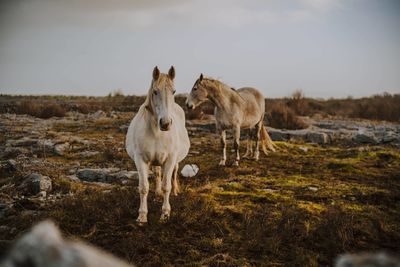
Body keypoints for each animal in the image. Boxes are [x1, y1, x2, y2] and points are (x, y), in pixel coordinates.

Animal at [126, 66, 190, 225]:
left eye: (174, 91)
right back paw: (157, 194)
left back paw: (175, 191)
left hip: (175, 161)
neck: (156, 132)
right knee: (157, 173)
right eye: (155, 91)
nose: (165, 123)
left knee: (174, 174)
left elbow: (167, 186)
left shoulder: (170, 159)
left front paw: (165, 214)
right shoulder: (141, 160)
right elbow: (144, 188)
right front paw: (142, 216)